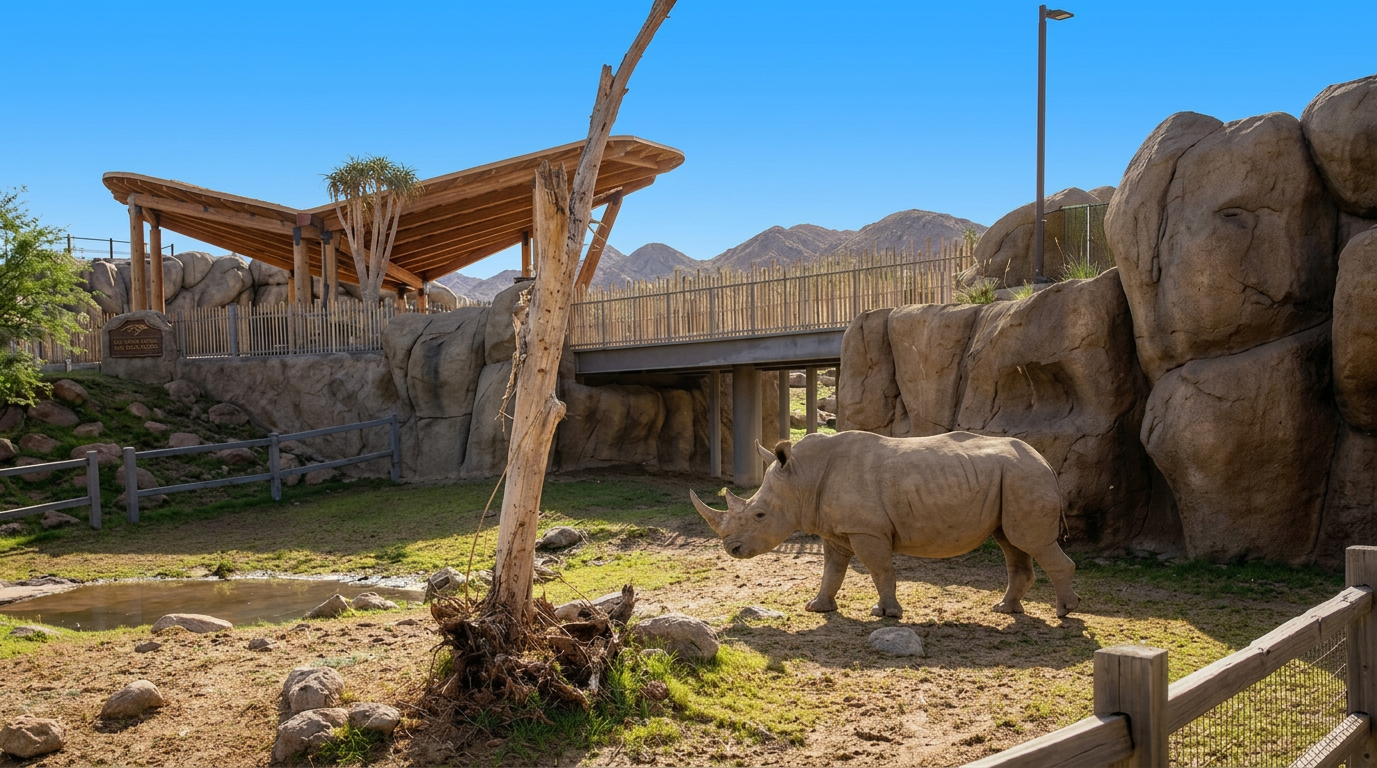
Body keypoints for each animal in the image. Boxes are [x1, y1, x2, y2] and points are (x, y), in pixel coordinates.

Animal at [690, 430, 1079, 619]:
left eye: (759, 515)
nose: (731, 549)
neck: (802, 477)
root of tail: (1046, 461)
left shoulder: (866, 529)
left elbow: (879, 569)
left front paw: (886, 613)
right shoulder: (839, 529)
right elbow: (832, 570)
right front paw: (817, 607)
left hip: (1024, 477)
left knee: (1032, 543)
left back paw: (1064, 612)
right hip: (1012, 479)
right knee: (1011, 543)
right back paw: (1004, 610)